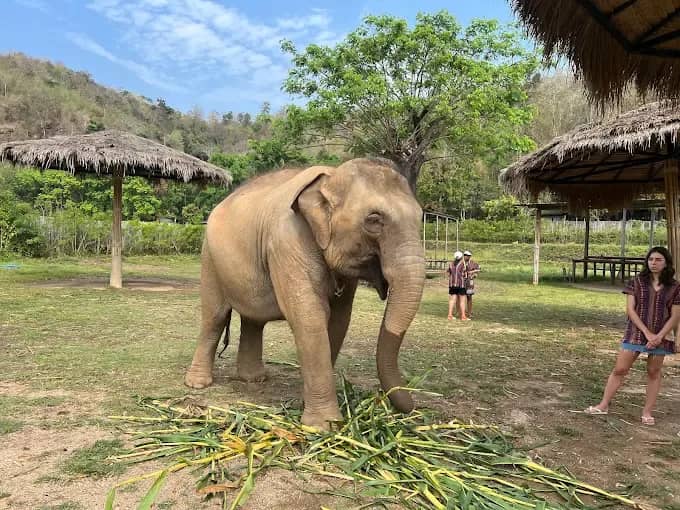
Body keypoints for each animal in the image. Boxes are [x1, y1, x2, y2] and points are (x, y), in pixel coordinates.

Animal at [184, 157, 426, 429]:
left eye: (421, 218)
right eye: (374, 219)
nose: (414, 409)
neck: (331, 177)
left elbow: (339, 320)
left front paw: (306, 404)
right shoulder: (287, 241)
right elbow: (310, 317)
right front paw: (324, 426)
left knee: (253, 320)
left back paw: (254, 379)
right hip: (209, 258)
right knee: (214, 317)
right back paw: (198, 383)